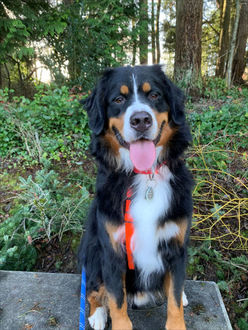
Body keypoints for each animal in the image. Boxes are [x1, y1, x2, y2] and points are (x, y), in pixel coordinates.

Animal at [78, 65, 193, 330]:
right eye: (118, 100)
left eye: (155, 95)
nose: (141, 120)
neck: (145, 176)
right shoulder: (111, 250)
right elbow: (116, 300)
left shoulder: (176, 246)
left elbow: (174, 298)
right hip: (91, 250)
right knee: (93, 291)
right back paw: (97, 314)